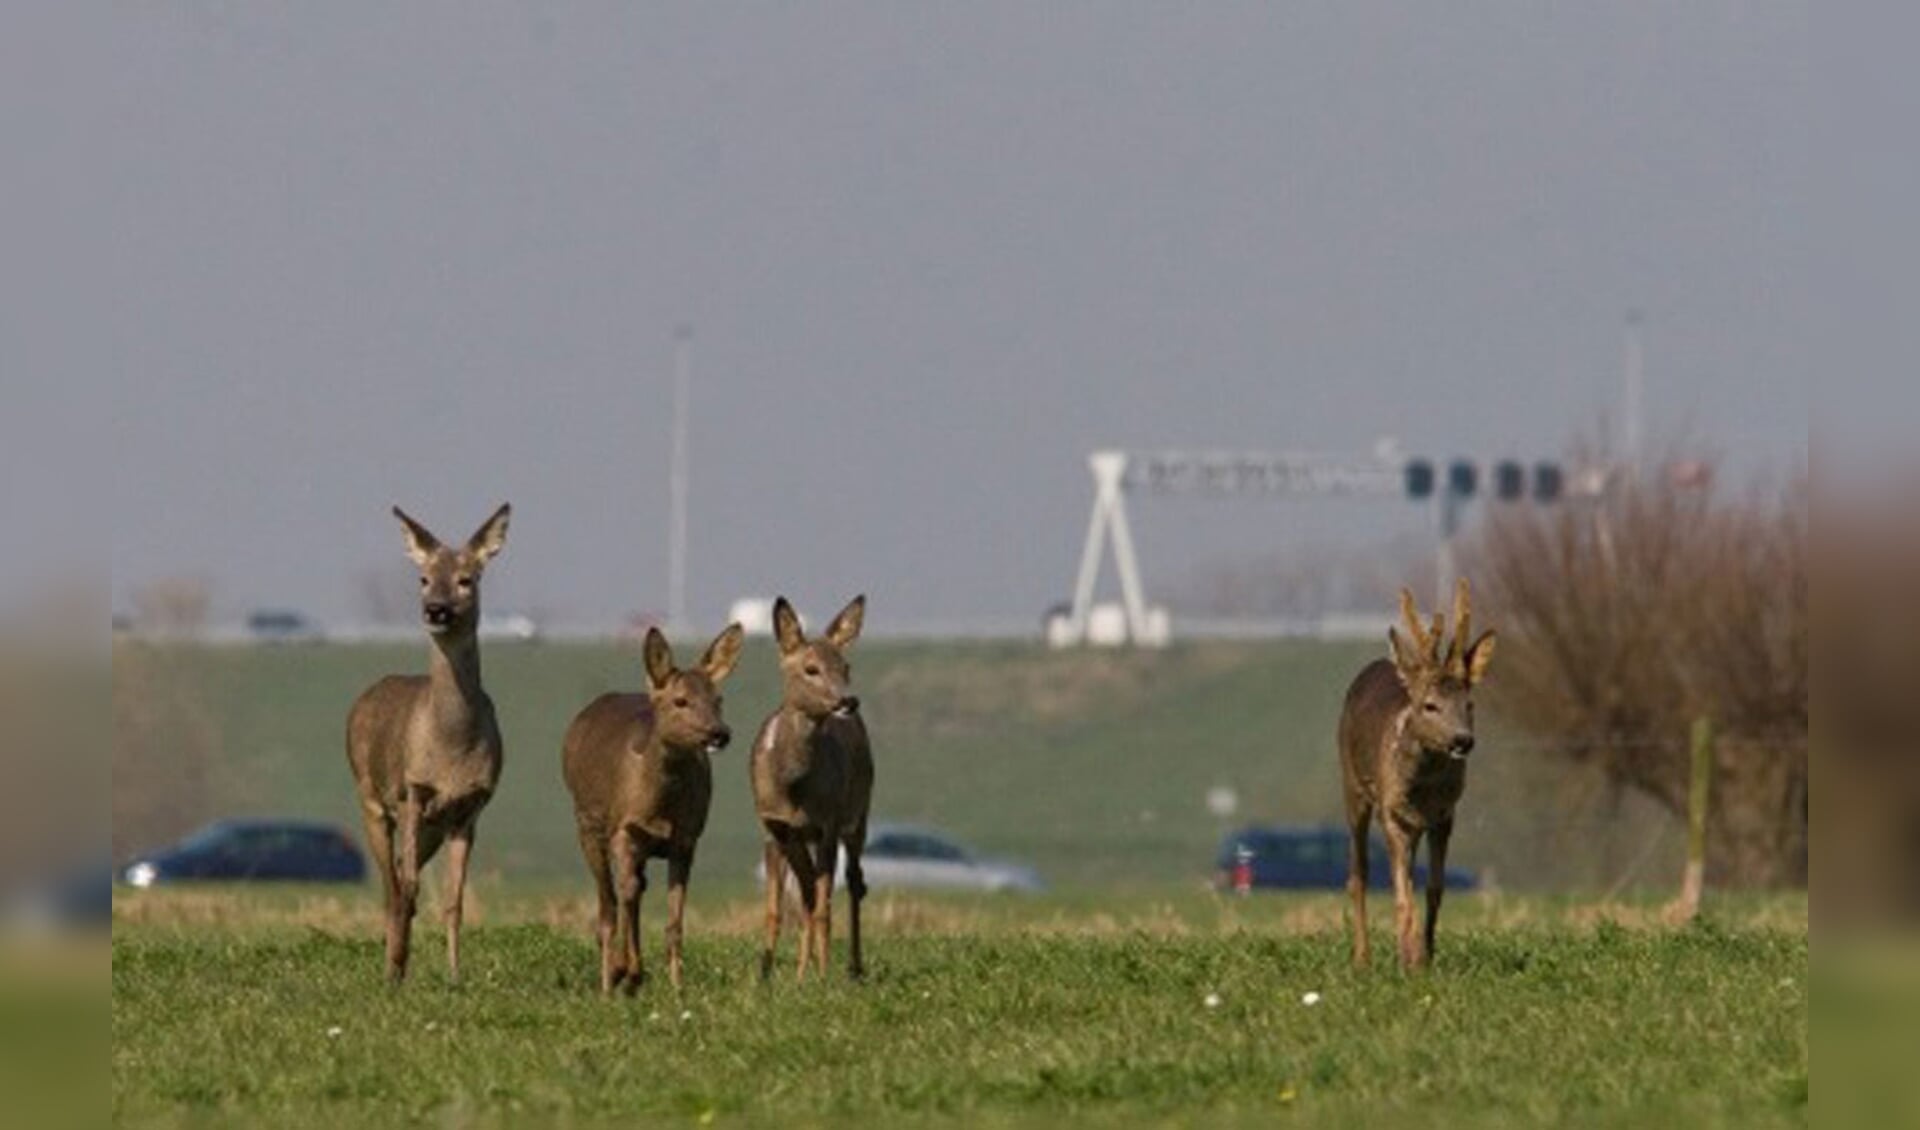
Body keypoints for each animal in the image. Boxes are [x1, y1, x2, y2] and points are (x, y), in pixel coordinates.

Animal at [345, 506, 510, 982]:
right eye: (422, 578)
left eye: (466, 579)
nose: (435, 610)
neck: (451, 748)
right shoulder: (412, 792)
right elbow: (408, 888)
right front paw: (397, 967)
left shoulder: (469, 809)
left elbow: (454, 901)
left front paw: (455, 975)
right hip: (371, 800)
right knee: (392, 886)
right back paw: (392, 966)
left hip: (431, 827)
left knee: (404, 880)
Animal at [560, 621, 741, 989]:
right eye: (680, 700)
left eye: (718, 699)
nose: (719, 733)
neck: (660, 808)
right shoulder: (623, 828)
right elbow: (624, 892)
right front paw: (621, 969)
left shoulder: (686, 838)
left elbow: (674, 922)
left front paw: (676, 986)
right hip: (586, 823)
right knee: (609, 901)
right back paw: (612, 974)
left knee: (636, 889)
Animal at [748, 598, 871, 978]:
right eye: (810, 668)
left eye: (846, 666)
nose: (848, 702)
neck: (793, 789)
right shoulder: (773, 826)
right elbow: (777, 910)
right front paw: (764, 976)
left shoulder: (828, 823)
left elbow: (823, 909)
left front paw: (824, 974)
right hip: (802, 839)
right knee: (805, 893)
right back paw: (803, 972)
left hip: (859, 812)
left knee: (855, 882)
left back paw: (852, 968)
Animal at [1344, 575, 1489, 966]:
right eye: (1430, 705)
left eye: (1470, 704)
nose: (1463, 740)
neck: (1422, 787)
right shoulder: (1390, 812)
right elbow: (1400, 894)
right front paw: (1411, 961)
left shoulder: (1445, 814)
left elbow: (1433, 887)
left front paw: (1425, 955)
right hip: (1353, 788)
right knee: (1359, 873)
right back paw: (1362, 958)